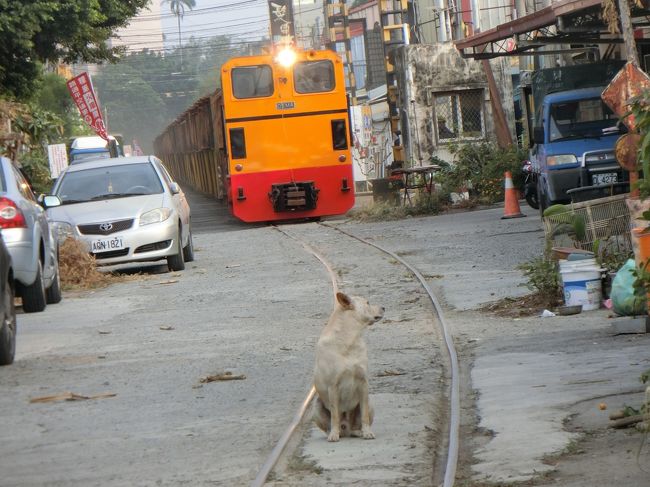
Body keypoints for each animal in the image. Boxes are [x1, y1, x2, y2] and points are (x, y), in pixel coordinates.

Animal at [310, 294, 382, 442]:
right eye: (368, 302)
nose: (384, 307)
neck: (350, 339)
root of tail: (346, 429)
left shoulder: (363, 383)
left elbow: (364, 415)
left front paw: (367, 432)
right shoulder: (333, 386)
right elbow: (334, 415)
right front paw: (333, 434)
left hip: (369, 402)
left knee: (356, 425)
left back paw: (359, 432)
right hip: (316, 407)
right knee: (331, 424)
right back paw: (333, 432)